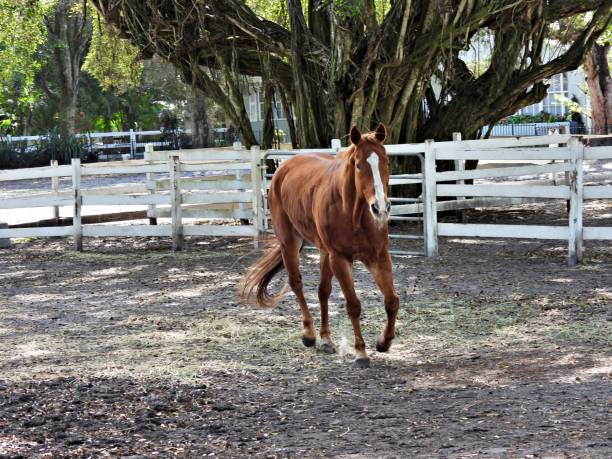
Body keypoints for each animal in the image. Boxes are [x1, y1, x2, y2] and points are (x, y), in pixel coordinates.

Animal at [241, 124, 400, 368]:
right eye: (358, 165)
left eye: (385, 161)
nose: (380, 208)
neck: (353, 214)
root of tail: (282, 169)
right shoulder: (340, 259)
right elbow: (353, 305)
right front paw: (361, 352)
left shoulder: (378, 256)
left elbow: (392, 301)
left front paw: (384, 342)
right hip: (290, 242)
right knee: (296, 284)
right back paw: (309, 334)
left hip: (324, 253)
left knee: (323, 291)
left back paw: (326, 339)